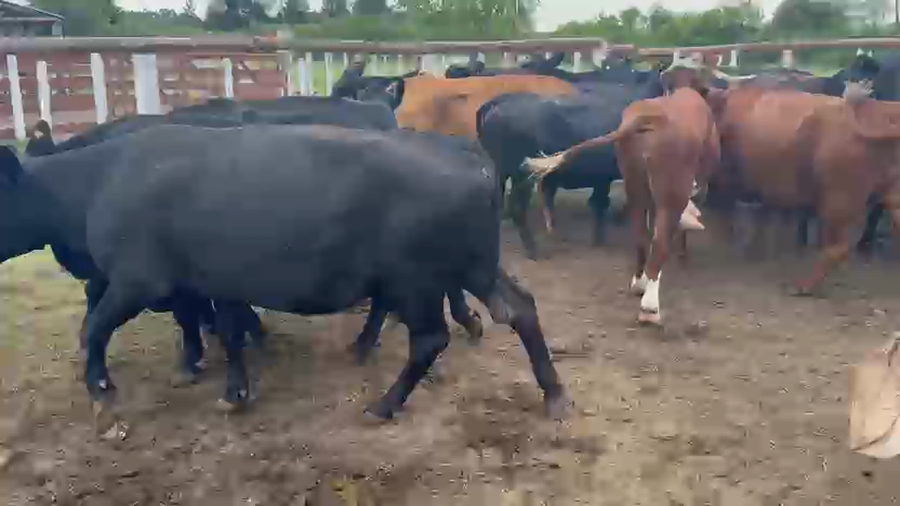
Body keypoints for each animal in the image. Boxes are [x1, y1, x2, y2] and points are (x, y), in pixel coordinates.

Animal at [0, 124, 568, 425]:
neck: (99, 180)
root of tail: (472, 162)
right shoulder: (217, 282)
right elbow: (230, 333)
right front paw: (234, 390)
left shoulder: (139, 280)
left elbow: (93, 327)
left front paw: (99, 383)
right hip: (474, 266)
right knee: (519, 309)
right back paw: (554, 393)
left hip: (416, 280)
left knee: (430, 338)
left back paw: (384, 404)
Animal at [475, 71, 666, 259]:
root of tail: (496, 105)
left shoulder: (603, 177)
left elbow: (600, 203)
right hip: (522, 176)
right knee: (517, 208)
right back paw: (533, 249)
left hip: (505, 172)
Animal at [524, 68, 718, 325]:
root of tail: (650, 117)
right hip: (670, 192)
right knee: (659, 241)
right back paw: (649, 308)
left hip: (635, 185)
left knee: (641, 235)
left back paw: (638, 283)